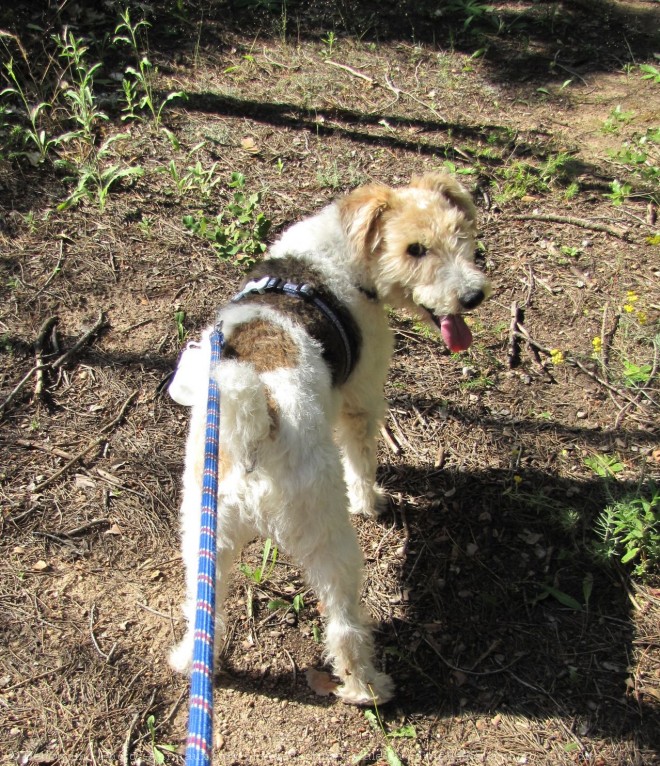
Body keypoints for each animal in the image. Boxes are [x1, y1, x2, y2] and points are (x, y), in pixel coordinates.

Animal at [169, 171, 490, 704]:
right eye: (415, 249)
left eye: (461, 233)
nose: (472, 297)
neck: (336, 254)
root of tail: (257, 419)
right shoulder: (361, 397)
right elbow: (362, 458)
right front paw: (372, 501)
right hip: (328, 537)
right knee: (344, 626)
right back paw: (368, 687)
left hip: (202, 531)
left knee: (203, 612)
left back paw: (191, 661)